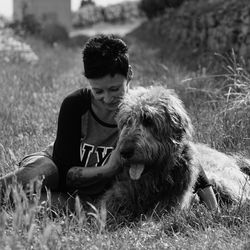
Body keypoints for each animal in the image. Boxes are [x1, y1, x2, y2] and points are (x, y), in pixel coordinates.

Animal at [100, 86, 250, 221]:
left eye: (148, 120)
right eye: (126, 121)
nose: (125, 152)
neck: (152, 178)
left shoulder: (172, 202)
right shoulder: (118, 194)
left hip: (220, 180)